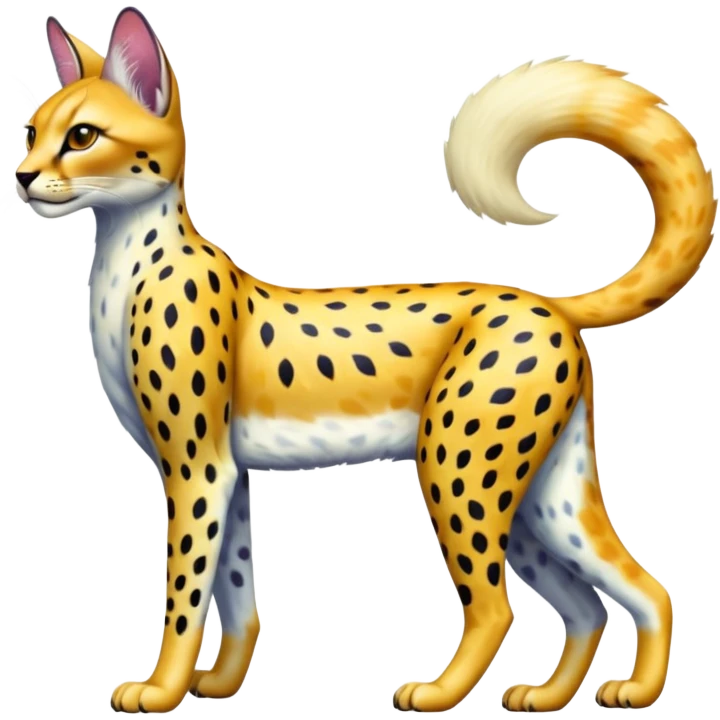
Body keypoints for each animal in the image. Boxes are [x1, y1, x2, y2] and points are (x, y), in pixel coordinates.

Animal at [15, 9, 715, 714]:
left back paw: (439, 693)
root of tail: (546, 301)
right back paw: (574, 694)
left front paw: (161, 690)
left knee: (499, 606)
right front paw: (218, 684)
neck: (126, 259)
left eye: (82, 135)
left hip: (460, 472)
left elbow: (183, 593)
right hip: (541, 497)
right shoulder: (226, 472)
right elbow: (236, 591)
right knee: (621, 594)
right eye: (32, 131)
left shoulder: (197, 468)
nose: (21, 175)